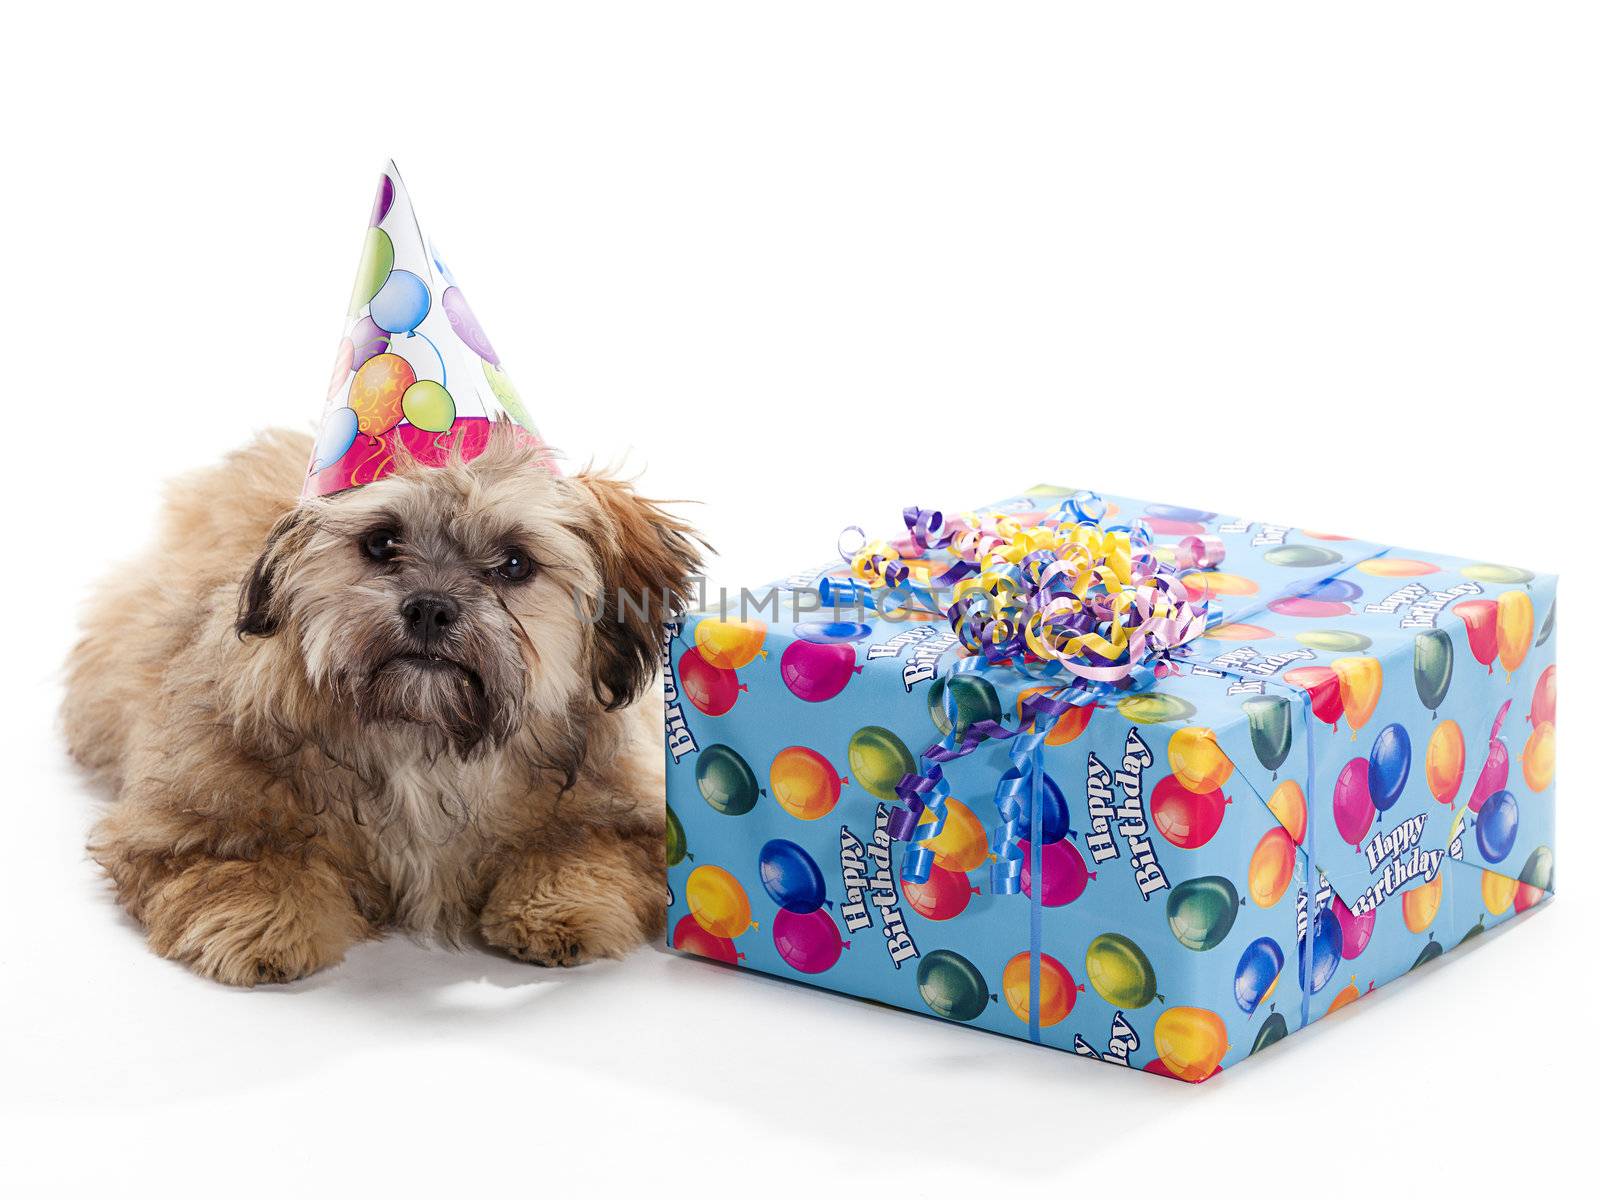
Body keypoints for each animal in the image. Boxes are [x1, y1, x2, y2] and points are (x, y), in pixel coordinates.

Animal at [64, 422, 700, 985]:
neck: (422, 737)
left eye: (515, 562)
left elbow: (582, 846)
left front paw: (557, 906)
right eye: (380, 542)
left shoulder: (630, 818)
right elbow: (243, 862)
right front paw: (265, 923)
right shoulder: (176, 825)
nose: (430, 608)